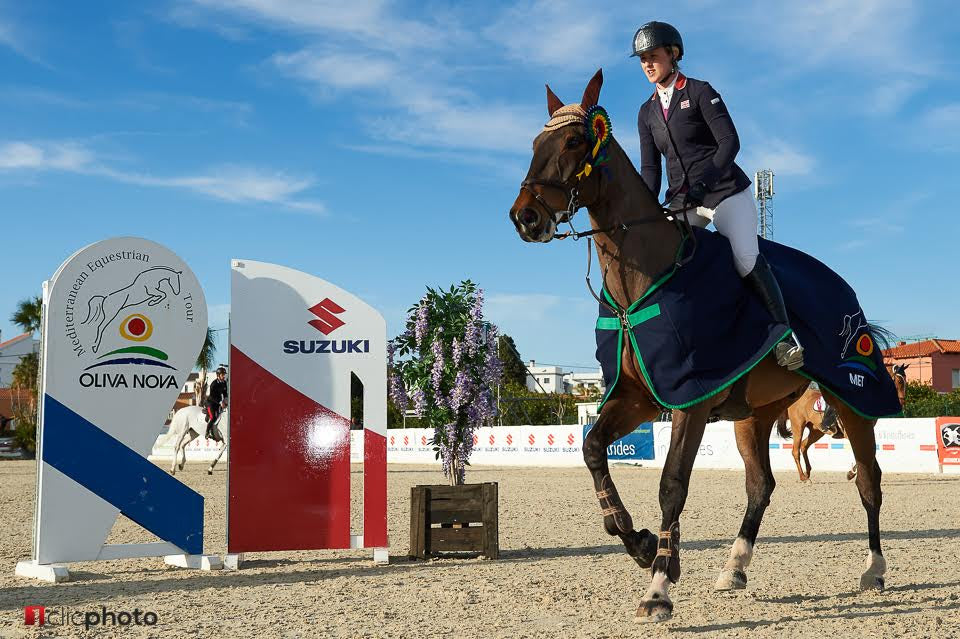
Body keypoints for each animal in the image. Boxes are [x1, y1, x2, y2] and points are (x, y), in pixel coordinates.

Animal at [506, 69, 888, 620]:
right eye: (536, 144)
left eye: (575, 141)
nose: (525, 217)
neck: (641, 280)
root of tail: (845, 289)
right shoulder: (639, 397)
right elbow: (594, 449)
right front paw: (641, 543)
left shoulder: (691, 398)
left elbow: (671, 484)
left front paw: (659, 587)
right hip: (754, 415)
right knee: (760, 485)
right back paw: (734, 568)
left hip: (853, 399)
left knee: (868, 480)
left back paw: (874, 569)